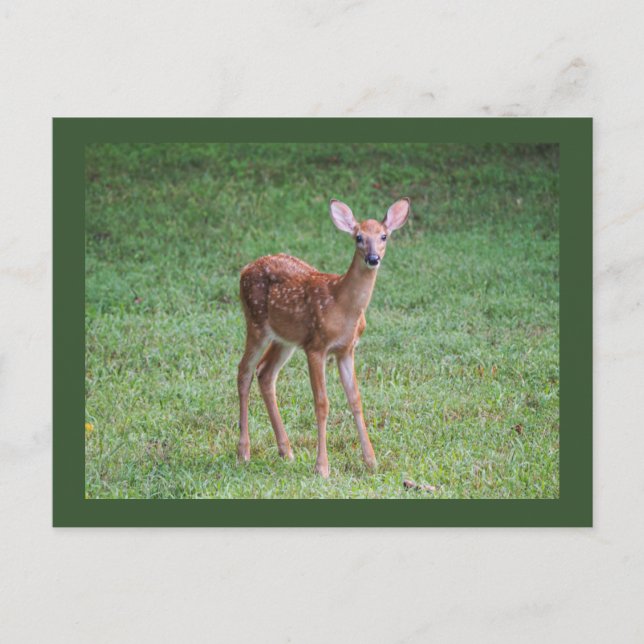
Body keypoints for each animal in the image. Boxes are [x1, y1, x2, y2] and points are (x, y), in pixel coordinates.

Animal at [237, 198, 410, 478]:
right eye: (358, 237)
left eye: (384, 236)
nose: (373, 258)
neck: (342, 305)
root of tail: (244, 270)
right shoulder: (316, 347)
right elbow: (322, 403)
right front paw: (322, 467)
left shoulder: (346, 350)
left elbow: (355, 399)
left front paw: (371, 460)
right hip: (255, 323)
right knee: (244, 371)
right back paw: (243, 451)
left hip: (284, 339)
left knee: (265, 373)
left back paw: (286, 451)